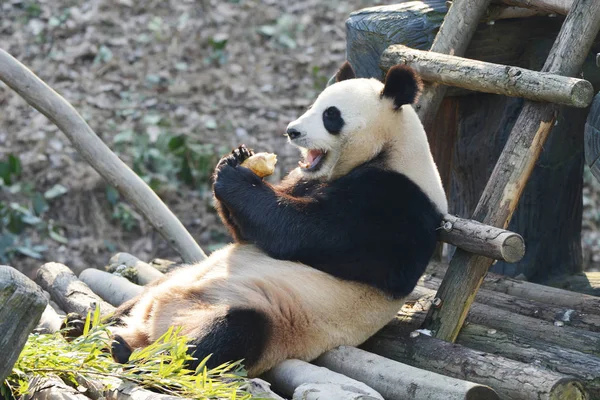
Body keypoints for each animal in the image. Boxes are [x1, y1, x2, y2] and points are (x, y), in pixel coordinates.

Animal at [108, 61, 448, 378]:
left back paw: (135, 355)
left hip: (264, 316)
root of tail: (148, 328)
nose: (292, 131)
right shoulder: (308, 180)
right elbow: (250, 233)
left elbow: (305, 232)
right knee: (140, 300)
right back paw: (107, 329)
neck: (390, 149)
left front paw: (236, 177)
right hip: (172, 283)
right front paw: (235, 158)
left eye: (331, 115)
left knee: (228, 336)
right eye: (313, 105)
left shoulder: (396, 207)